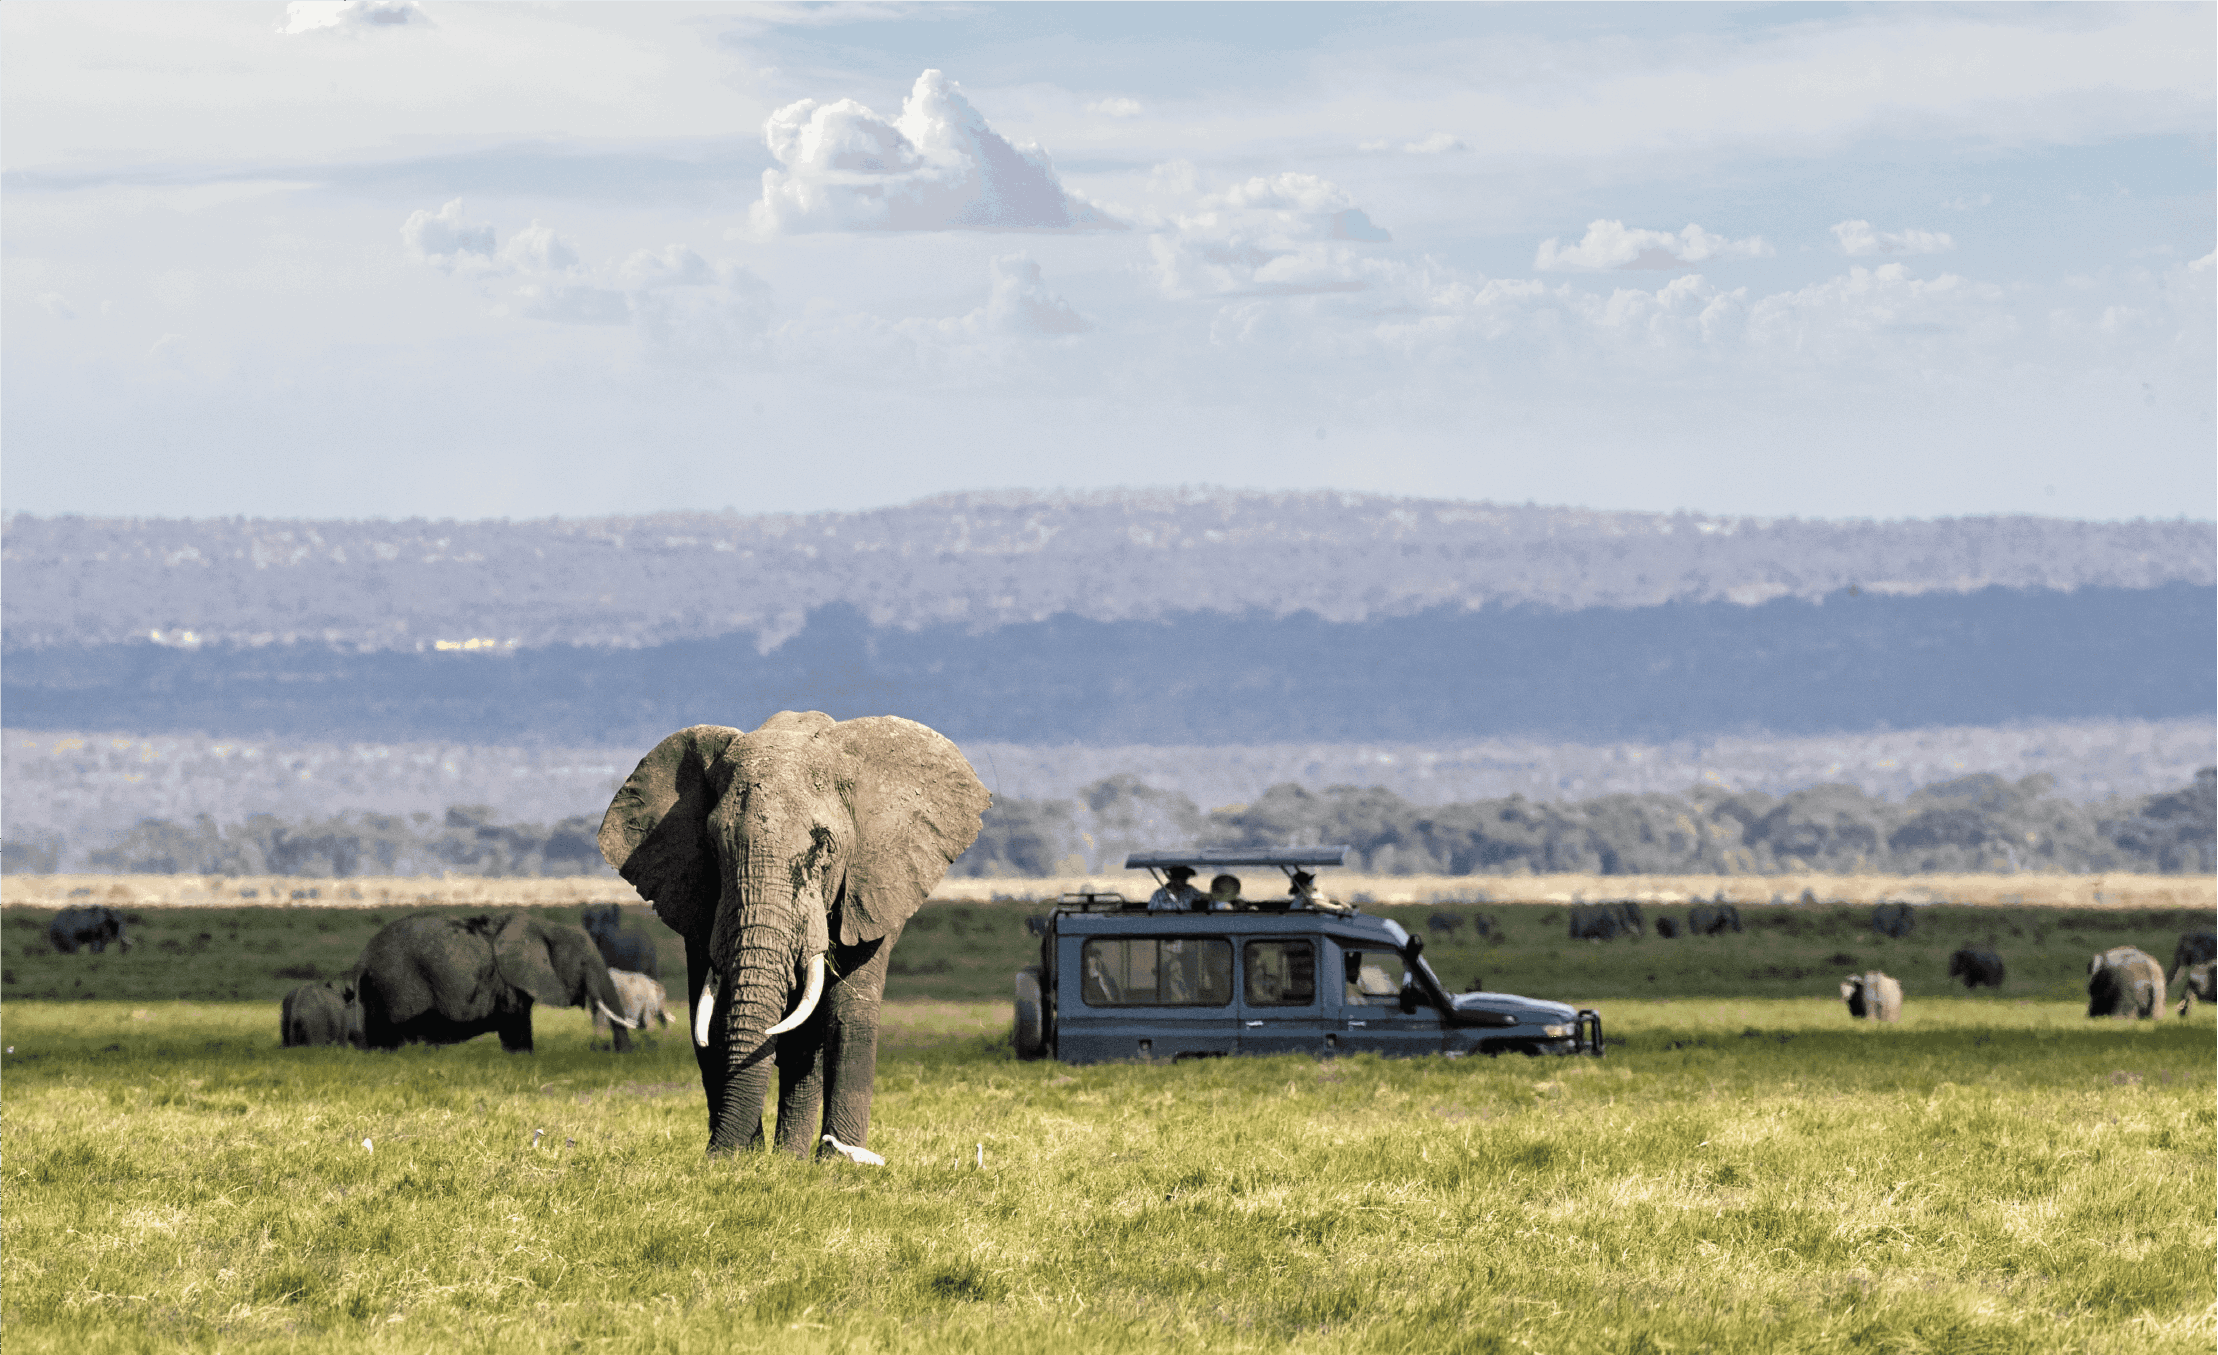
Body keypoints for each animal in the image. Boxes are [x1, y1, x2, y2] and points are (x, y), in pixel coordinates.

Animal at [350, 912, 638, 1052]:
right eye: (583, 964)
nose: (620, 1053)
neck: (547, 926)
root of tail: (362, 958)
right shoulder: (506, 982)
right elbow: (515, 1025)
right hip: (397, 984)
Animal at [597, 713, 989, 1162]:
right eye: (713, 847)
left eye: (824, 848)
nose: (716, 1153)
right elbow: (713, 1014)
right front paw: (739, 1159)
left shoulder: (873, 887)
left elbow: (846, 1016)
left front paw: (837, 1162)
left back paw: (794, 1158)